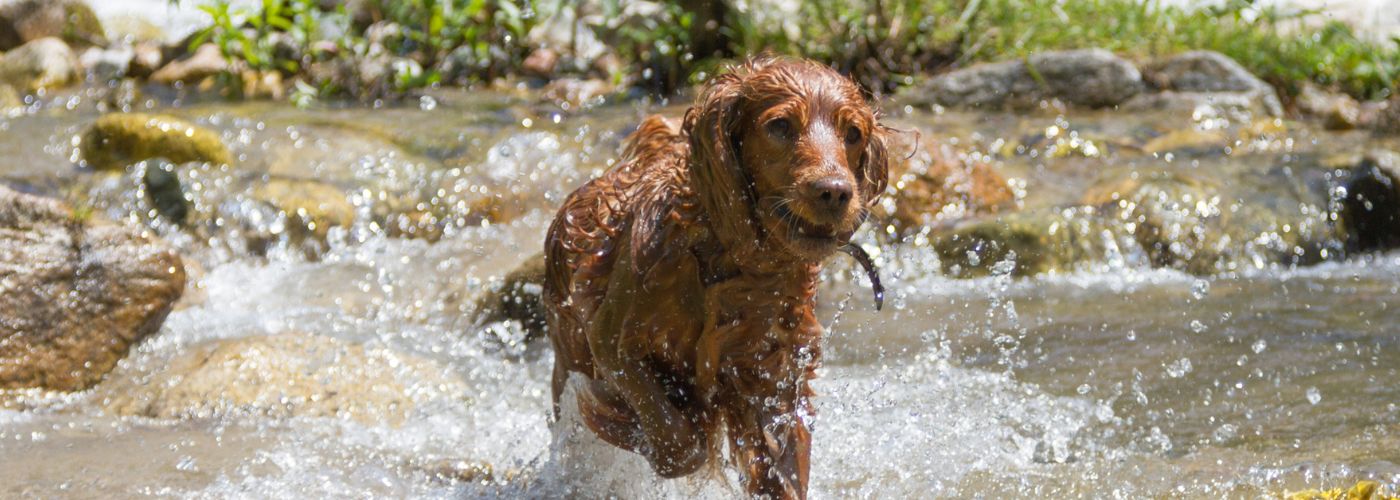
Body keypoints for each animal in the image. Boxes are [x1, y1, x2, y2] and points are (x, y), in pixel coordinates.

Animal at [543, 56, 884, 495]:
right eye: (780, 126)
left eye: (854, 133)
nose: (835, 192)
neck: (731, 260)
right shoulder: (611, 341)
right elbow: (678, 443)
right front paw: (637, 427)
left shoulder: (776, 372)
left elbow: (782, 467)